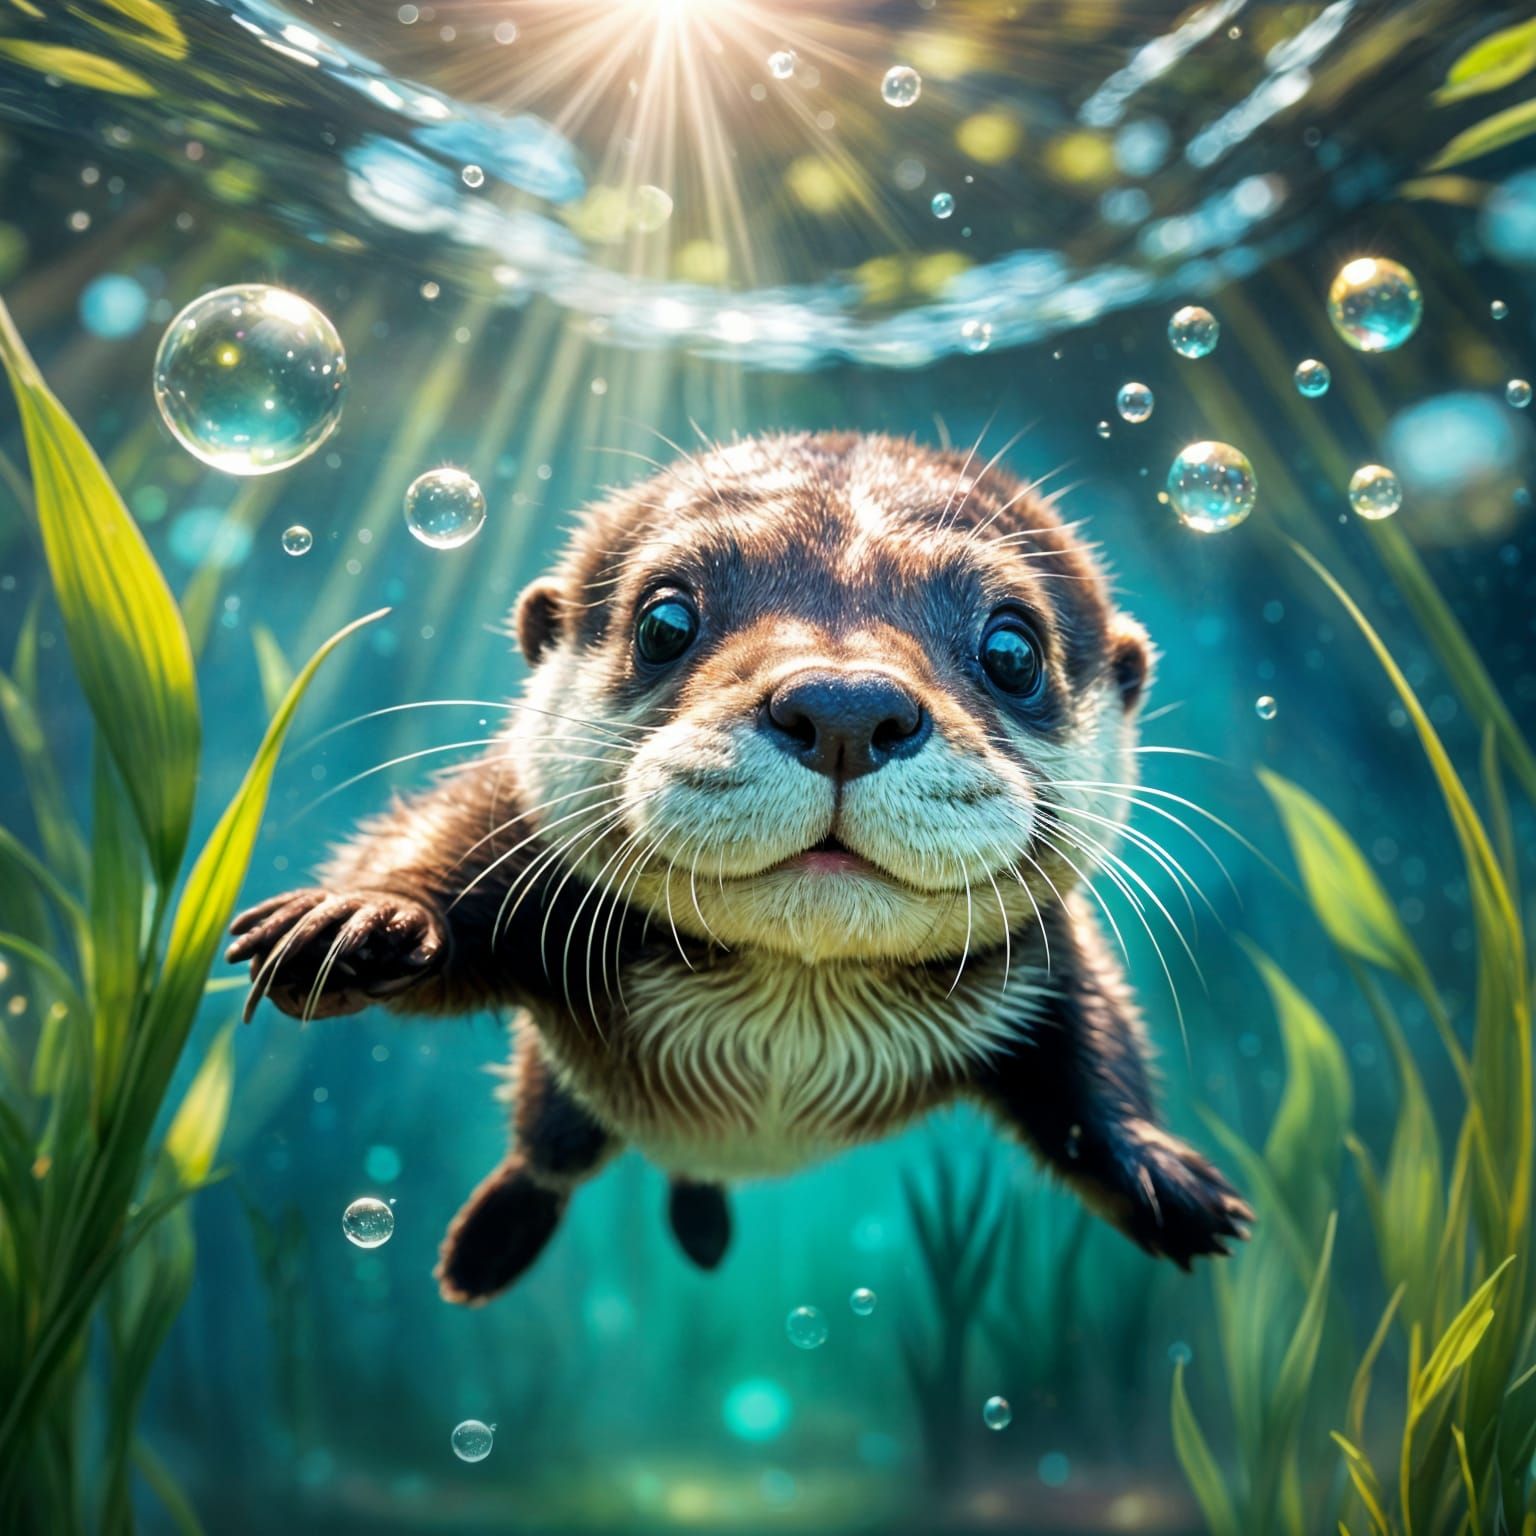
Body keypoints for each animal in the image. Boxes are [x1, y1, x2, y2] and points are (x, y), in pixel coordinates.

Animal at [227, 431, 1251, 1303]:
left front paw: (1158, 1171)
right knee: (546, 1154)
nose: (844, 705)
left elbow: (1095, 1045)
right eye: (665, 620)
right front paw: (358, 918)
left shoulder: (1049, 958)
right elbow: (434, 846)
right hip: (561, 1098)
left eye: (1011, 648)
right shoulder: (519, 854)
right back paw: (489, 1245)